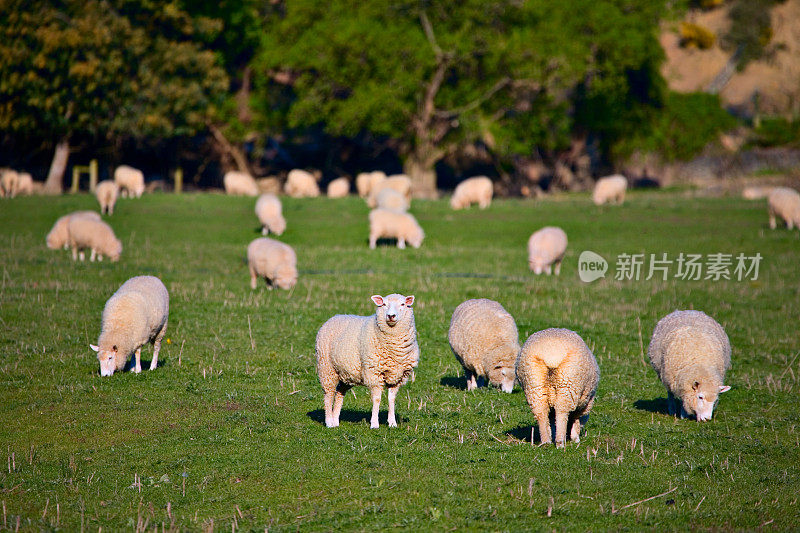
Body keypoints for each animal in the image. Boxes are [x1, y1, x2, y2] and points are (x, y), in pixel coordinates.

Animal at [316, 294, 422, 426]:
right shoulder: (374, 373)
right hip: (327, 368)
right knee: (328, 395)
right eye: (384, 304)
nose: (391, 316)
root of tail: (334, 317)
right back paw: (329, 422)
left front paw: (392, 422)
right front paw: (374, 423)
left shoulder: (398, 376)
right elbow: (377, 399)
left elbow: (391, 399)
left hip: (345, 374)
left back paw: (335, 421)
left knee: (339, 393)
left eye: (403, 304)